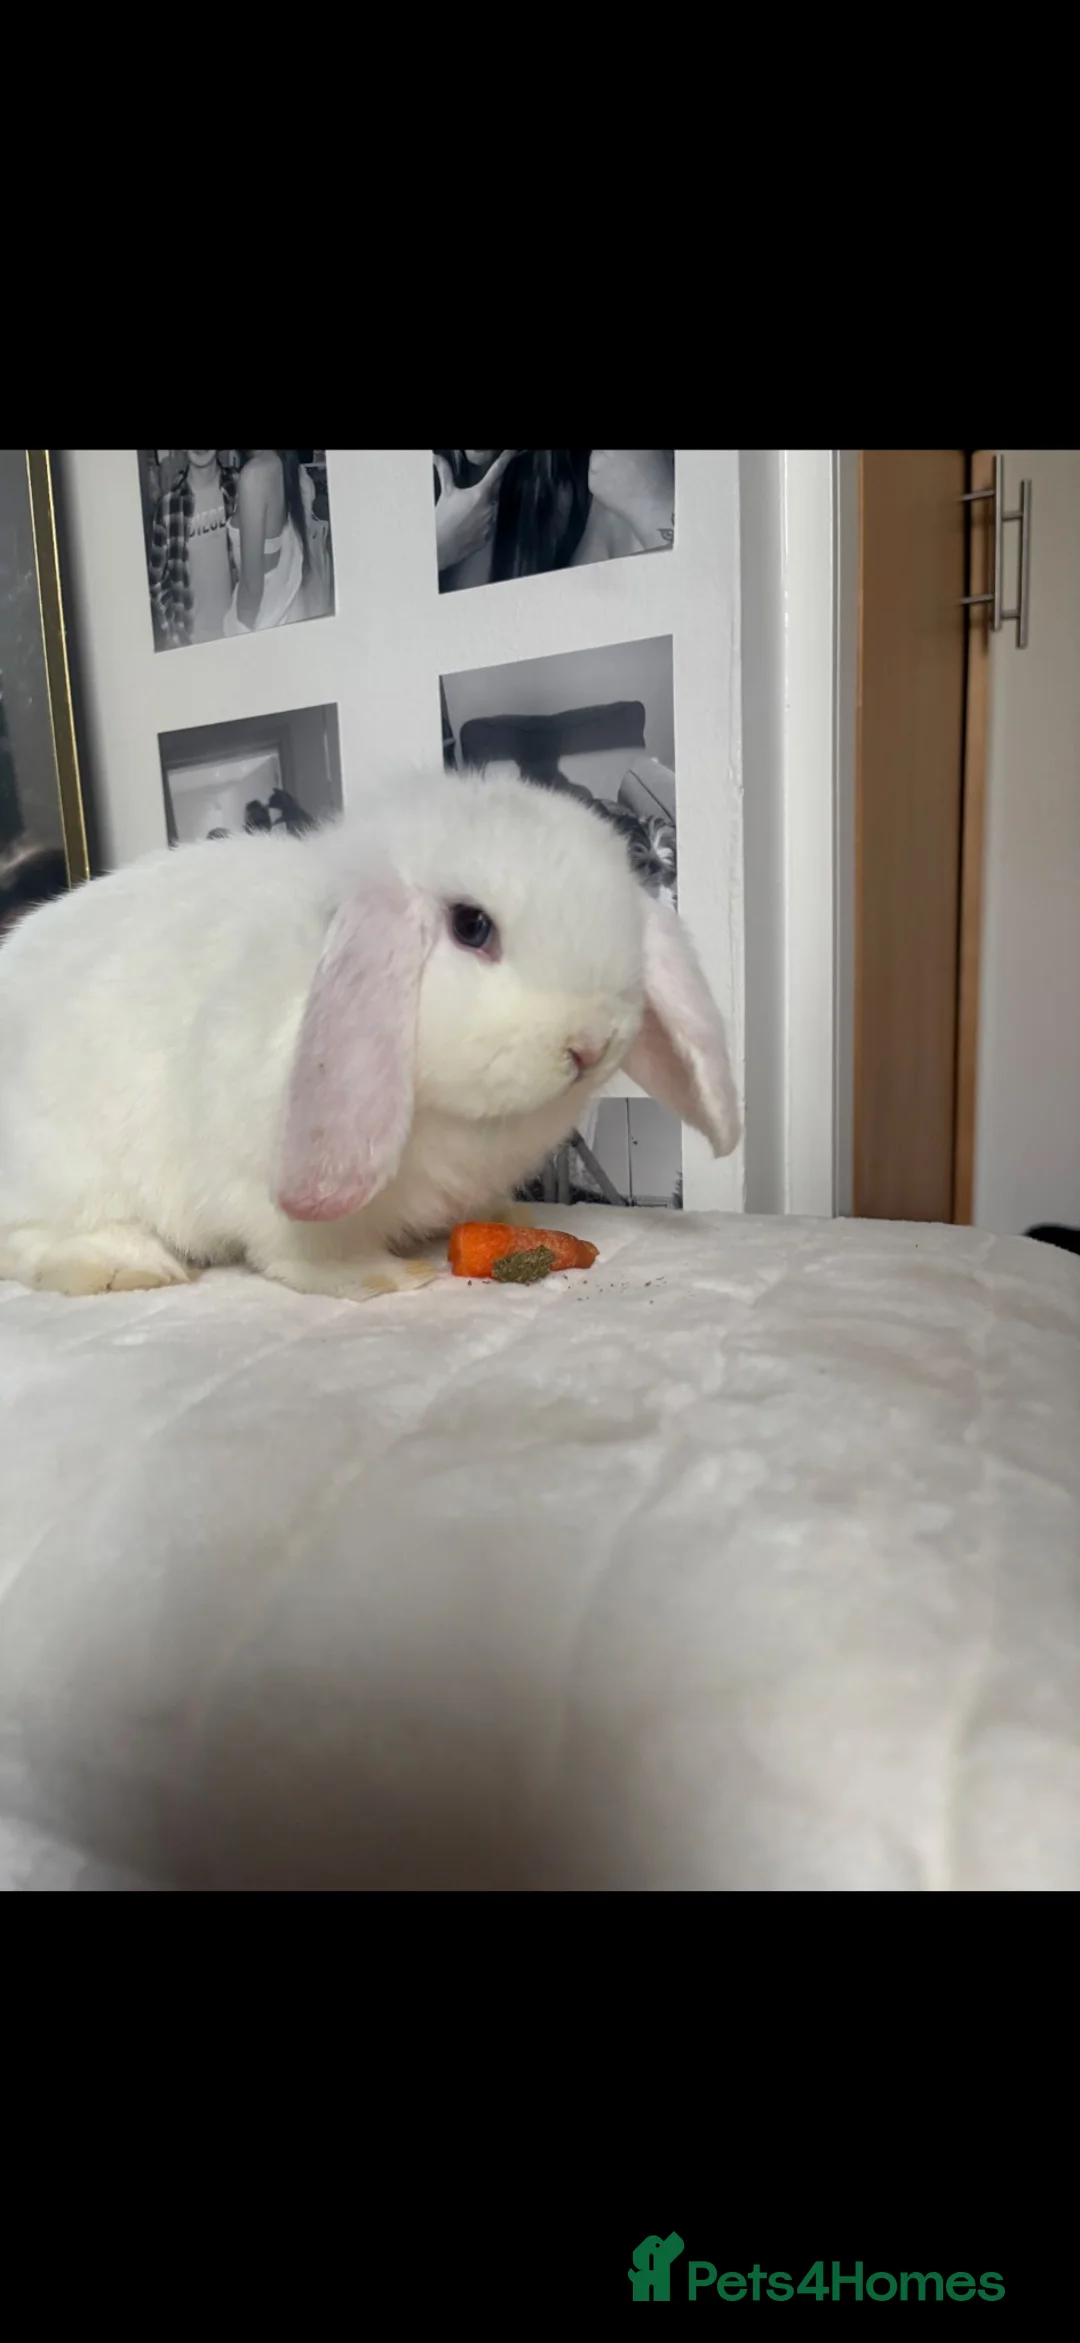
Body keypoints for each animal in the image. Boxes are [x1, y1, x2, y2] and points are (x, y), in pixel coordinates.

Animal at [0, 765, 740, 1303]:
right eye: (471, 925)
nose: (590, 1043)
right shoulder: (270, 1188)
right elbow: (306, 1253)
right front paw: (389, 1277)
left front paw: (515, 1220)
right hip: (65, 1168)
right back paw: (127, 1267)